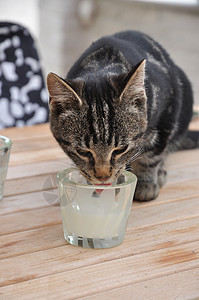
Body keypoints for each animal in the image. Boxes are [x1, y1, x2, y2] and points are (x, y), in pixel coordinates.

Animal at [47, 30, 199, 202]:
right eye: (83, 152)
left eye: (120, 149)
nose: (103, 177)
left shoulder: (168, 112)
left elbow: (152, 155)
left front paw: (145, 182)